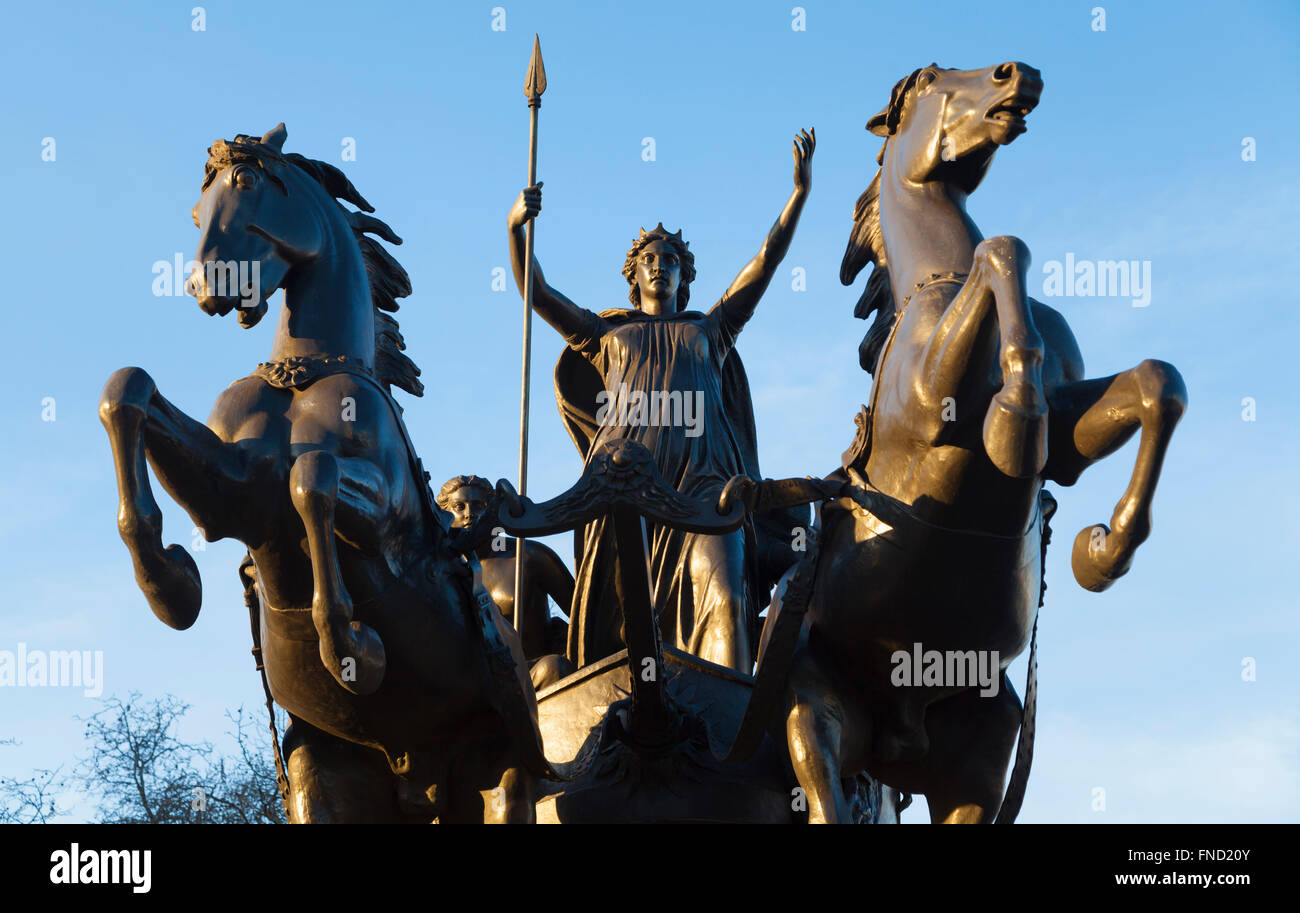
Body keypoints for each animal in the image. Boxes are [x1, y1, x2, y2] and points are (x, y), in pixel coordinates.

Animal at [100, 123, 543, 821]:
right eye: (197, 211)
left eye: (246, 181)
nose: (205, 285)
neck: (302, 374)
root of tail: (419, 775)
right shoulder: (233, 494)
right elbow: (127, 390)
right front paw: (172, 584)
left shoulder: (388, 522)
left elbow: (312, 477)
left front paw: (352, 649)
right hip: (327, 775)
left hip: (502, 765)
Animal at [769, 62, 1190, 821]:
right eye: (931, 80)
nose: (1018, 74)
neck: (939, 277)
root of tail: (895, 738)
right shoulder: (935, 404)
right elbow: (1004, 252)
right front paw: (1014, 419)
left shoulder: (1071, 441)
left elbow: (1154, 383)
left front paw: (1102, 550)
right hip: (810, 713)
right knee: (821, 791)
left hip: (980, 760)